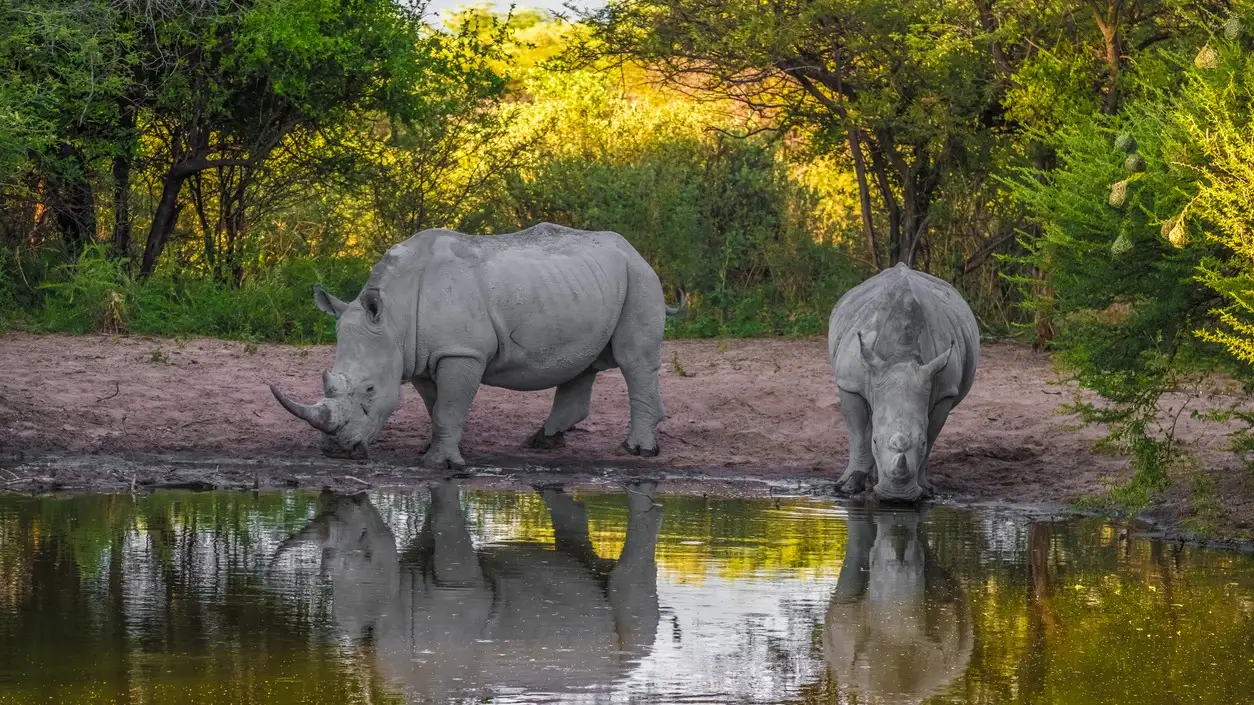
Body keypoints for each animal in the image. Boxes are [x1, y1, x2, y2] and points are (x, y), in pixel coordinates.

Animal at [270, 223, 684, 468]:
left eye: (369, 389)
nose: (336, 450)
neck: (394, 315)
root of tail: (634, 250)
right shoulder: (420, 355)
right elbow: (436, 405)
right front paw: (435, 449)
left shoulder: (460, 351)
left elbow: (448, 406)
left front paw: (440, 464)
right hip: (588, 284)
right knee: (581, 365)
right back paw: (542, 442)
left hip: (640, 279)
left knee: (634, 361)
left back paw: (638, 451)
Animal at [272, 479, 662, 702]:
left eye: (367, 549)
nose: (342, 497)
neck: (390, 611)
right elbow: (433, 526)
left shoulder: (456, 586)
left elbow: (447, 528)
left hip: (628, 652)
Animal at [828, 263, 979, 501]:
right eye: (876, 441)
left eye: (921, 442)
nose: (896, 497)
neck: (902, 357)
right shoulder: (850, 384)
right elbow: (859, 435)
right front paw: (849, 487)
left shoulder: (945, 391)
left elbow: (931, 436)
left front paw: (925, 490)